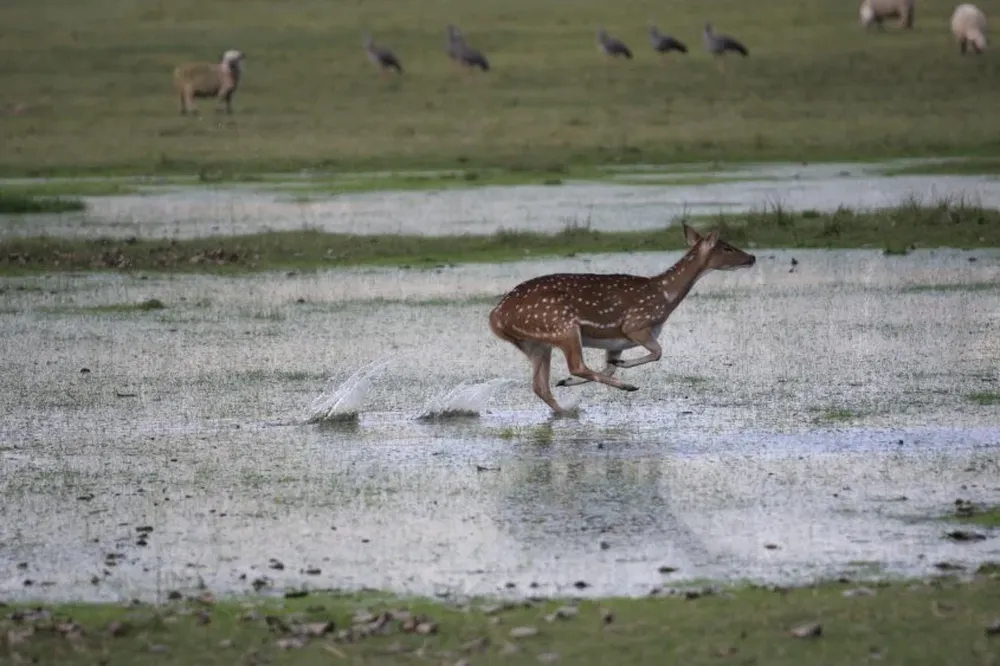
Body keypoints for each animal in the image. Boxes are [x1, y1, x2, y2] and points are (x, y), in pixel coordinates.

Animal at [488, 223, 756, 415]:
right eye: (727, 247)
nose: (752, 257)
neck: (665, 297)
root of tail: (496, 316)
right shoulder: (636, 324)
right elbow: (658, 352)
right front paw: (624, 369)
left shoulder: (616, 342)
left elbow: (610, 364)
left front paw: (570, 380)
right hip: (561, 325)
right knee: (576, 365)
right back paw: (624, 387)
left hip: (537, 342)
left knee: (540, 384)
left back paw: (564, 409)